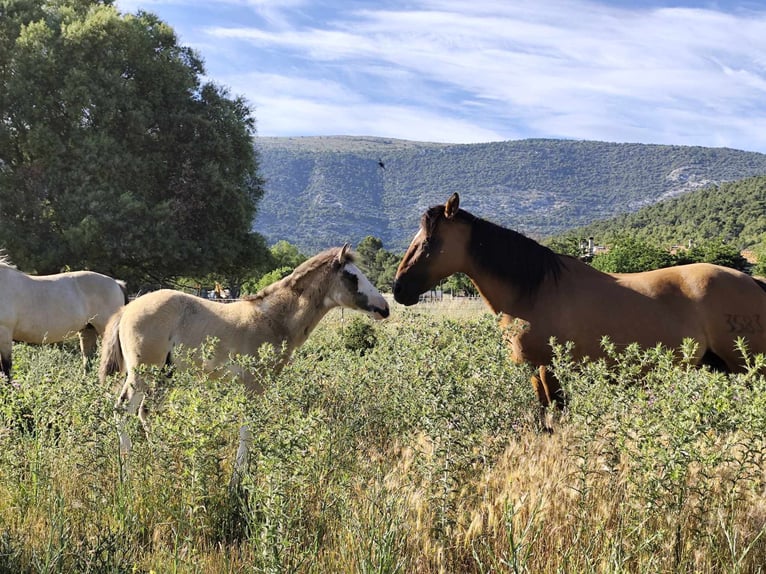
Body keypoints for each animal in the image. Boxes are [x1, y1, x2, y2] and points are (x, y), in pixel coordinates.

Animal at [97, 245, 390, 484]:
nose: (384, 308)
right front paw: (239, 479)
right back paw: (128, 470)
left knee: (145, 412)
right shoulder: (253, 384)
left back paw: (162, 460)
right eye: (352, 277)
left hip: (165, 375)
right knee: (123, 410)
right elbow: (247, 428)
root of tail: (127, 309)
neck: (273, 319)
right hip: (142, 373)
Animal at [392, 194, 766, 428]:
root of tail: (753, 282)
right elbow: (544, 416)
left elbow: (556, 413)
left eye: (429, 242)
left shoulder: (553, 369)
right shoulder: (535, 371)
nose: (399, 290)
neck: (535, 290)